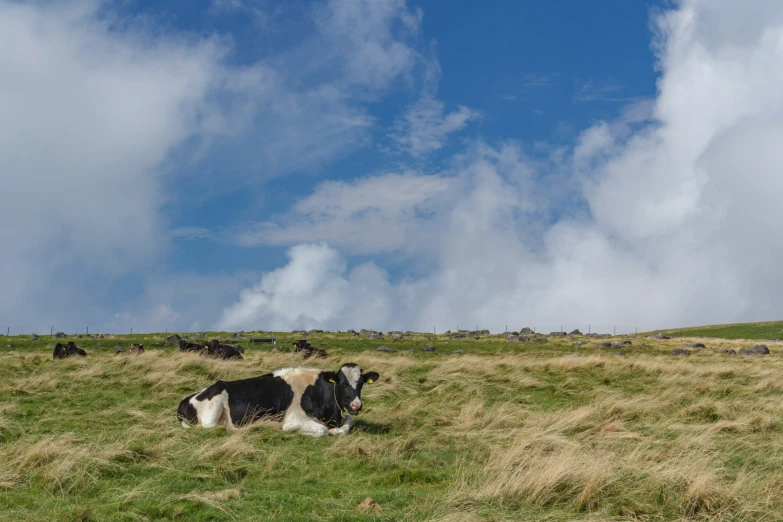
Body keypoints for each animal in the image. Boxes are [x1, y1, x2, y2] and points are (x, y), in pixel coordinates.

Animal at [176, 362, 378, 434]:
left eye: (361, 384)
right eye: (342, 383)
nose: (356, 405)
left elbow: (348, 421)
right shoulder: (292, 420)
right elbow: (322, 430)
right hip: (215, 403)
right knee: (209, 427)